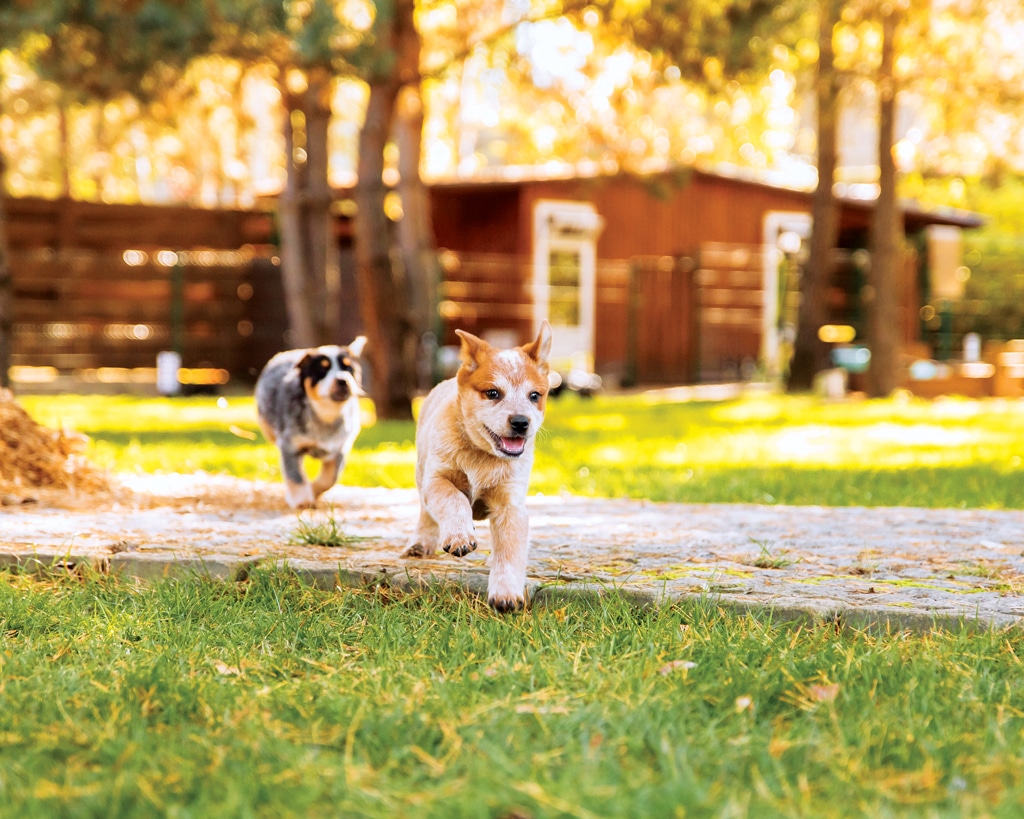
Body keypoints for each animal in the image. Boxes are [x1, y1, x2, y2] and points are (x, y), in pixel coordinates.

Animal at [256, 335, 368, 507]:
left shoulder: (339, 448)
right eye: (322, 370)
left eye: (348, 368)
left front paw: (314, 490)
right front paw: (302, 501)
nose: (342, 380)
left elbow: (330, 478)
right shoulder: (289, 446)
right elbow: (295, 476)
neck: (325, 417)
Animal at [405, 319, 552, 606]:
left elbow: (510, 549)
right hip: (420, 473)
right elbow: (454, 498)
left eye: (534, 395)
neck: (481, 458)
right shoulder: (437, 479)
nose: (521, 422)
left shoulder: (511, 504)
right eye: (493, 393)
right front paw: (460, 536)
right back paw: (420, 544)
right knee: (425, 513)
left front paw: (506, 594)